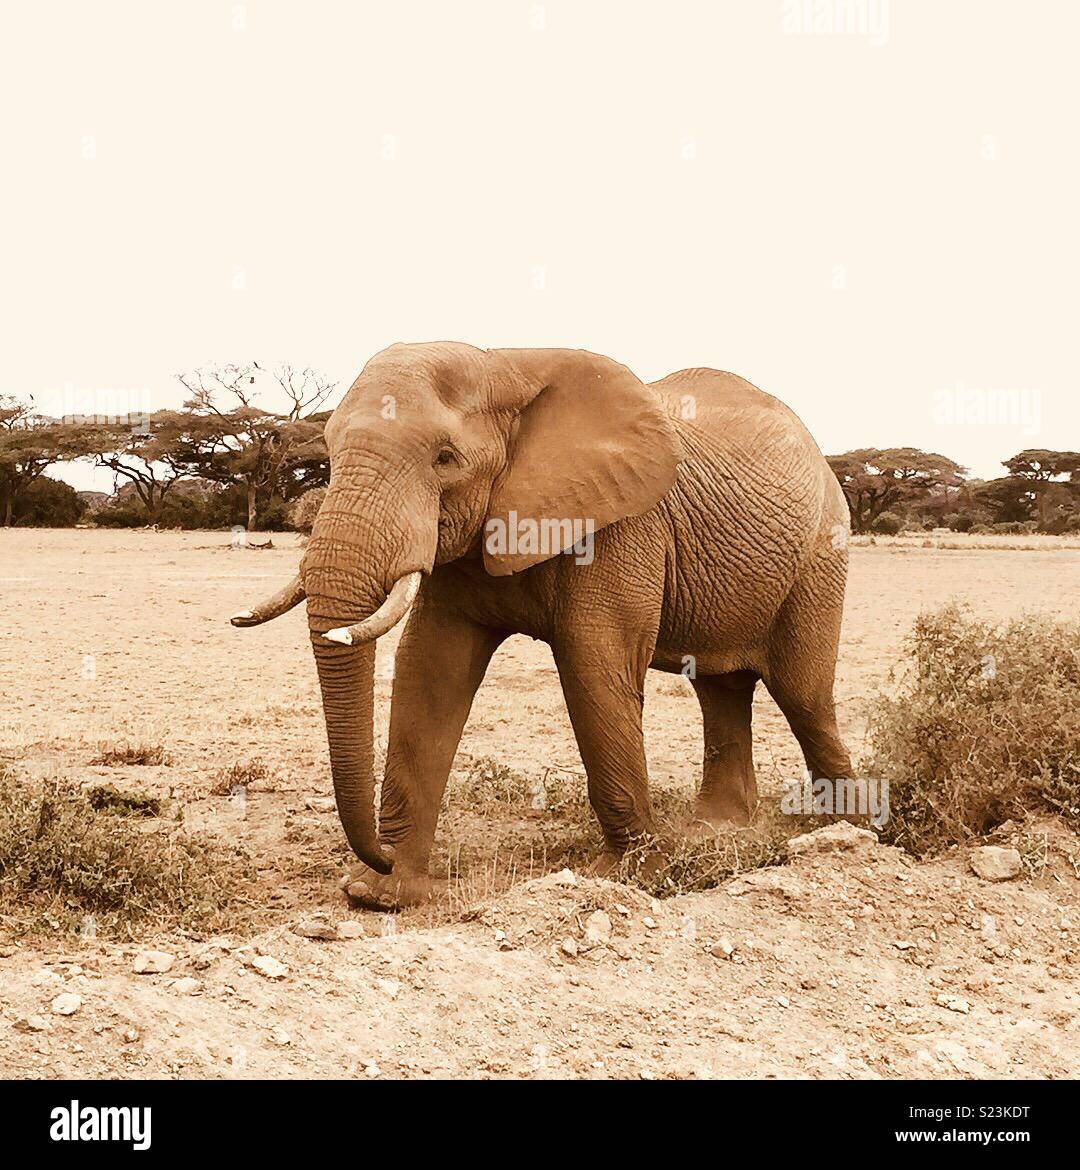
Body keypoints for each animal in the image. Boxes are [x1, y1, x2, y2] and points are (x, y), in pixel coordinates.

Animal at [234, 341, 851, 907]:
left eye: (445, 458)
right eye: (330, 452)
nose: (378, 855)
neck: (502, 365)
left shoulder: (622, 523)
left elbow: (594, 663)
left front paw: (629, 878)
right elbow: (430, 668)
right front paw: (381, 893)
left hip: (822, 552)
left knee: (802, 693)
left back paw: (845, 832)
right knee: (721, 689)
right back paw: (719, 830)